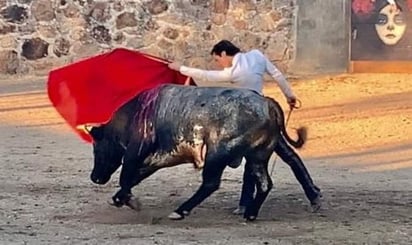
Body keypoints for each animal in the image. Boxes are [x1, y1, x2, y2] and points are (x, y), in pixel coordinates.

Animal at [87, 83, 318, 220]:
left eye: (97, 147)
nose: (95, 177)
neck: (132, 116)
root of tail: (267, 103)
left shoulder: (135, 152)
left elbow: (126, 176)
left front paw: (127, 200)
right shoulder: (155, 159)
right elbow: (134, 177)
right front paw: (120, 198)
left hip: (217, 152)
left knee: (211, 183)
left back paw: (180, 211)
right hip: (257, 156)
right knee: (265, 182)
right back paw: (251, 214)